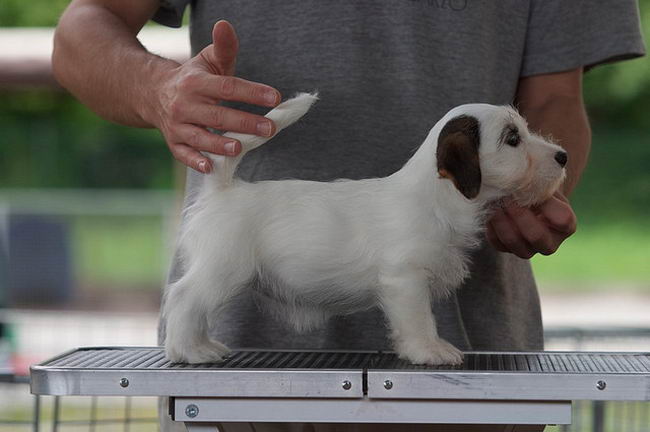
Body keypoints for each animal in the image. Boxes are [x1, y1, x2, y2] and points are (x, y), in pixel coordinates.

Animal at [165, 93, 564, 364]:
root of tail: (224, 188)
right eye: (512, 139)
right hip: (223, 270)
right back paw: (189, 350)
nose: (563, 156)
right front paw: (429, 350)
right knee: (184, 299)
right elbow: (421, 319)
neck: (436, 196)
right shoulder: (406, 280)